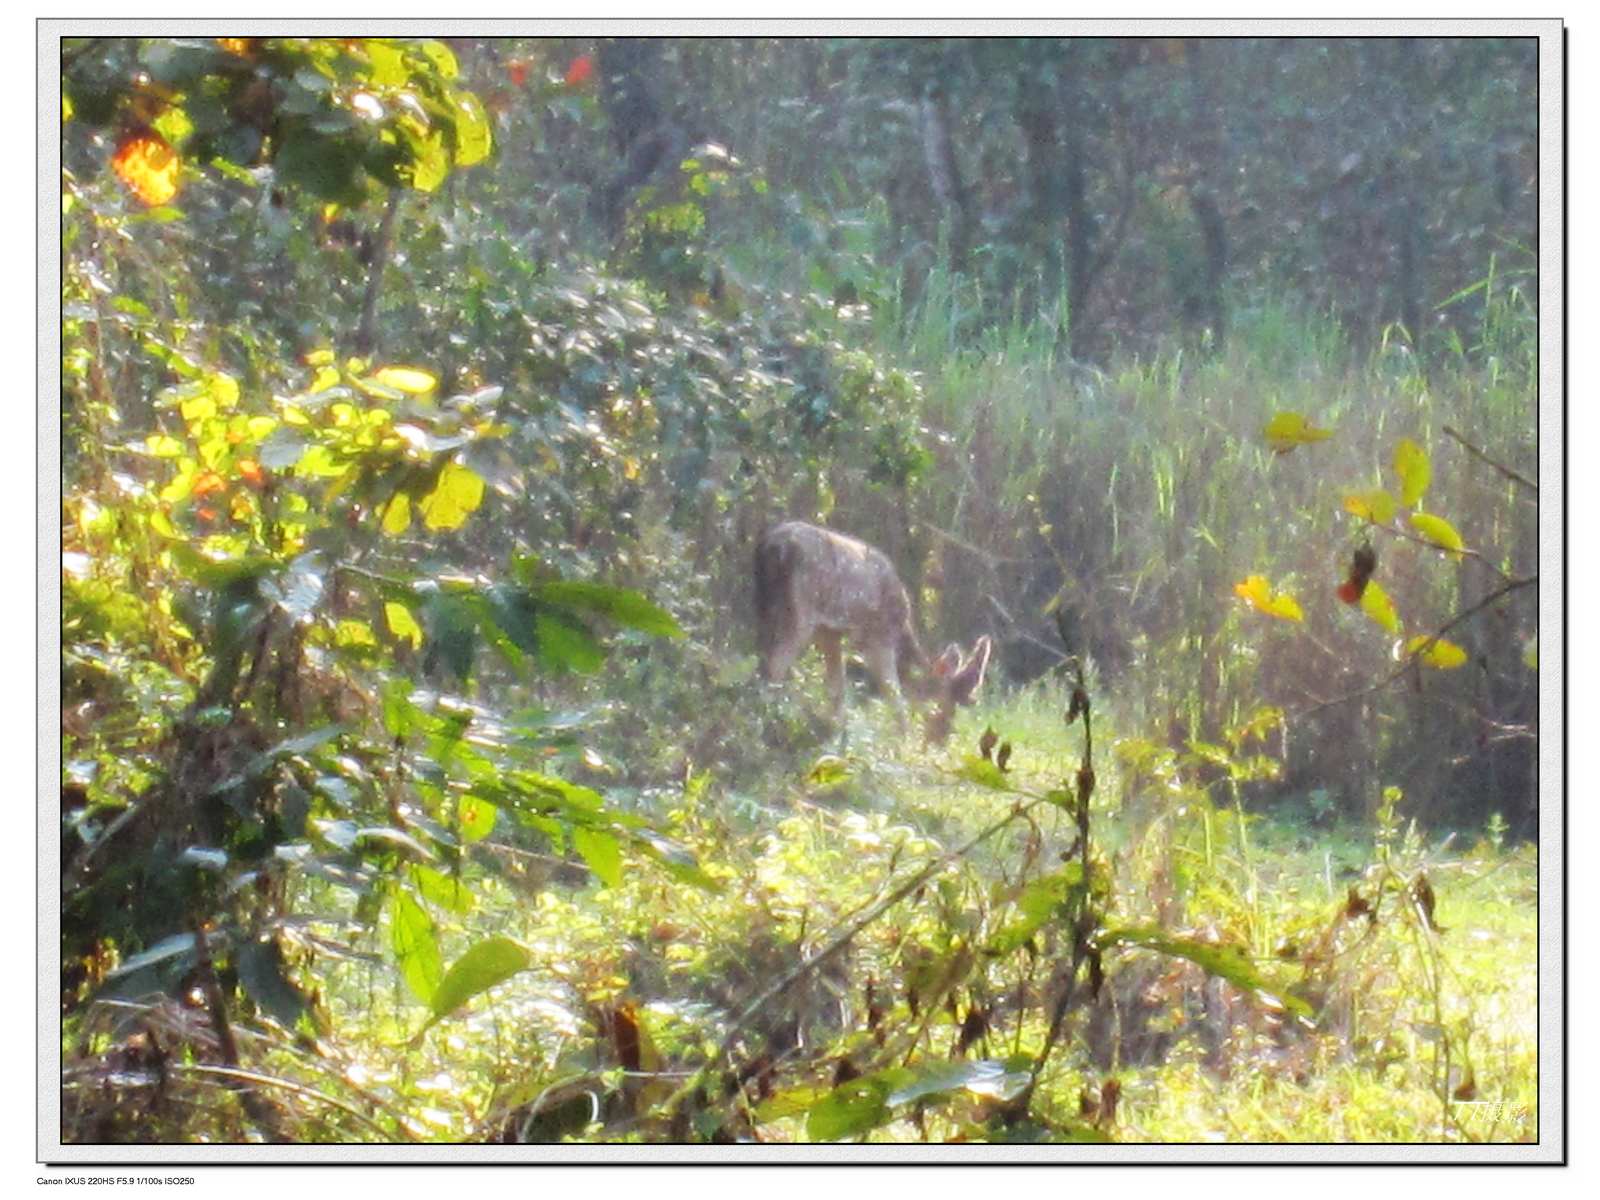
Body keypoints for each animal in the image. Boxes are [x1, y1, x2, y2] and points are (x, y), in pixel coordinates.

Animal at [748, 524, 985, 748]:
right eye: (946, 704)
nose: (941, 739)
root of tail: (773, 548)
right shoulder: (880, 637)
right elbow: (894, 695)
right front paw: (902, 744)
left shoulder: (829, 633)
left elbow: (837, 690)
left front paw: (837, 738)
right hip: (801, 611)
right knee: (775, 668)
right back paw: (769, 731)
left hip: (765, 605)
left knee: (762, 663)